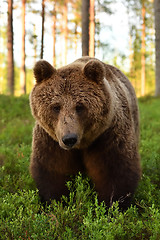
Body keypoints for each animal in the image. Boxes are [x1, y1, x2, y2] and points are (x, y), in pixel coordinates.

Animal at [29, 56, 141, 210]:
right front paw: (57, 203)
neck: (82, 144)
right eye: (56, 107)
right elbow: (52, 171)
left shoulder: (109, 135)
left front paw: (111, 205)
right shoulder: (51, 140)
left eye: (80, 106)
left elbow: (116, 171)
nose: (69, 139)